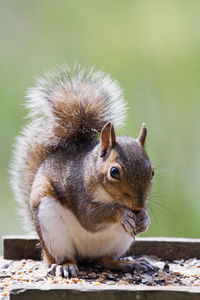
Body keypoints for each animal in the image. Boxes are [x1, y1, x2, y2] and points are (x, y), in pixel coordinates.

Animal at [10, 64, 155, 278]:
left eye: (152, 172)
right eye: (114, 172)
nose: (138, 206)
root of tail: (85, 256)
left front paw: (144, 218)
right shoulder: (78, 191)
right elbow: (90, 218)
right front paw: (122, 214)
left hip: (118, 242)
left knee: (103, 259)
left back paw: (129, 263)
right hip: (51, 228)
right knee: (61, 257)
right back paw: (65, 266)